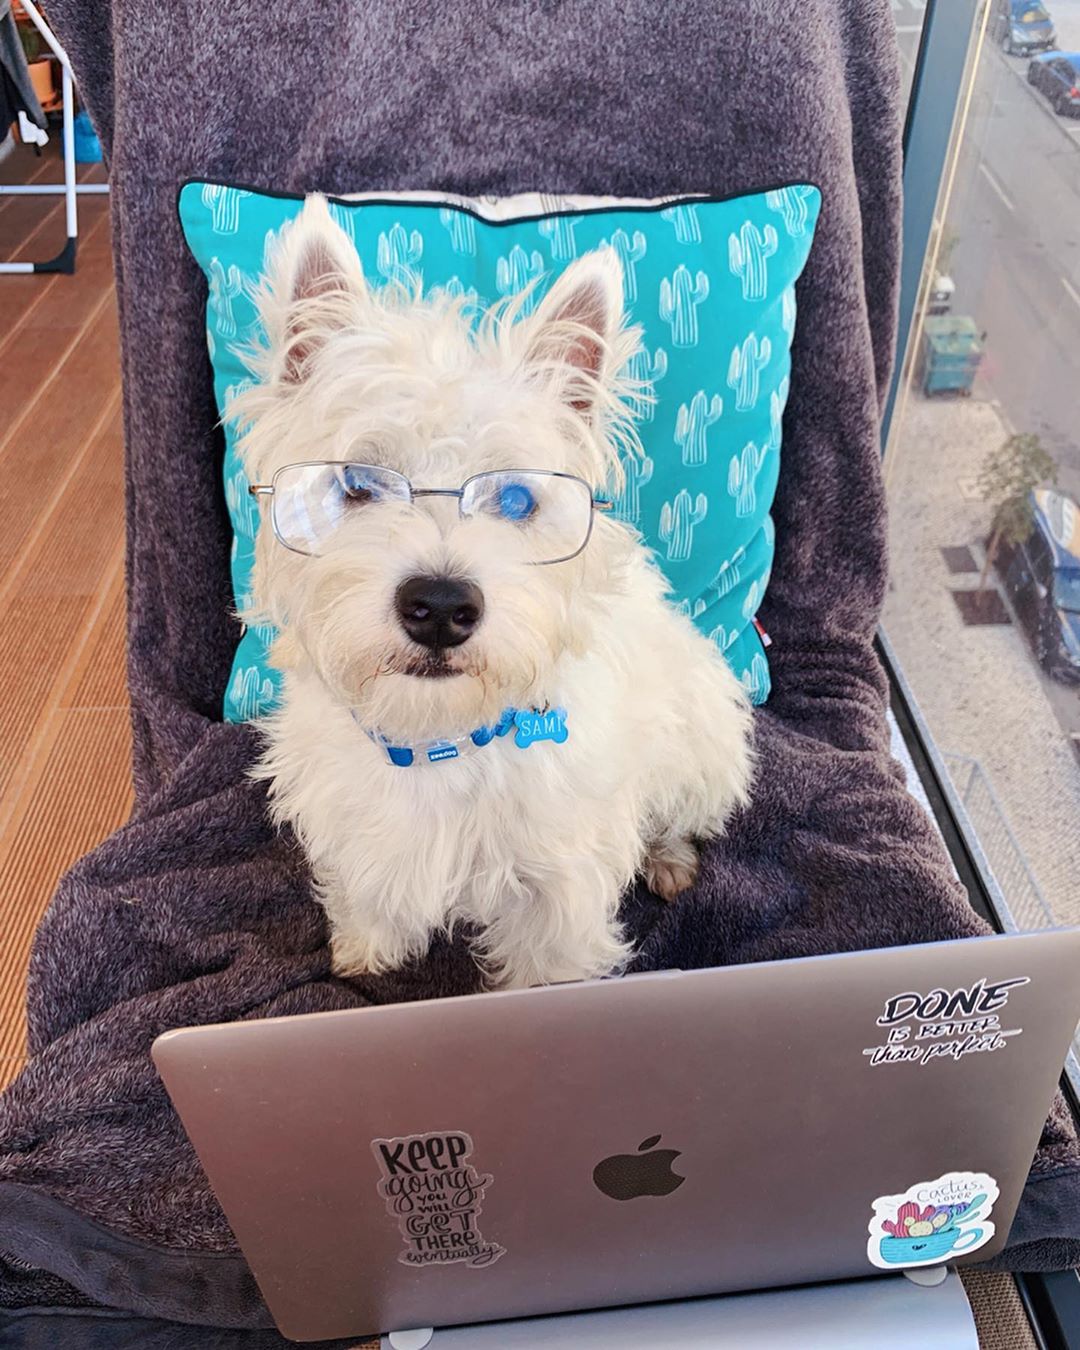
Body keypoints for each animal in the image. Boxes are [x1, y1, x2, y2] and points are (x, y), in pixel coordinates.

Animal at [229, 195, 750, 988]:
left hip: (702, 742)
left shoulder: (558, 890)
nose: (441, 608)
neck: (435, 737)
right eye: (358, 482)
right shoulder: (357, 829)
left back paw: (668, 858)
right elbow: (368, 896)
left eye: (513, 499)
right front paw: (365, 953)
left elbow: (547, 971)